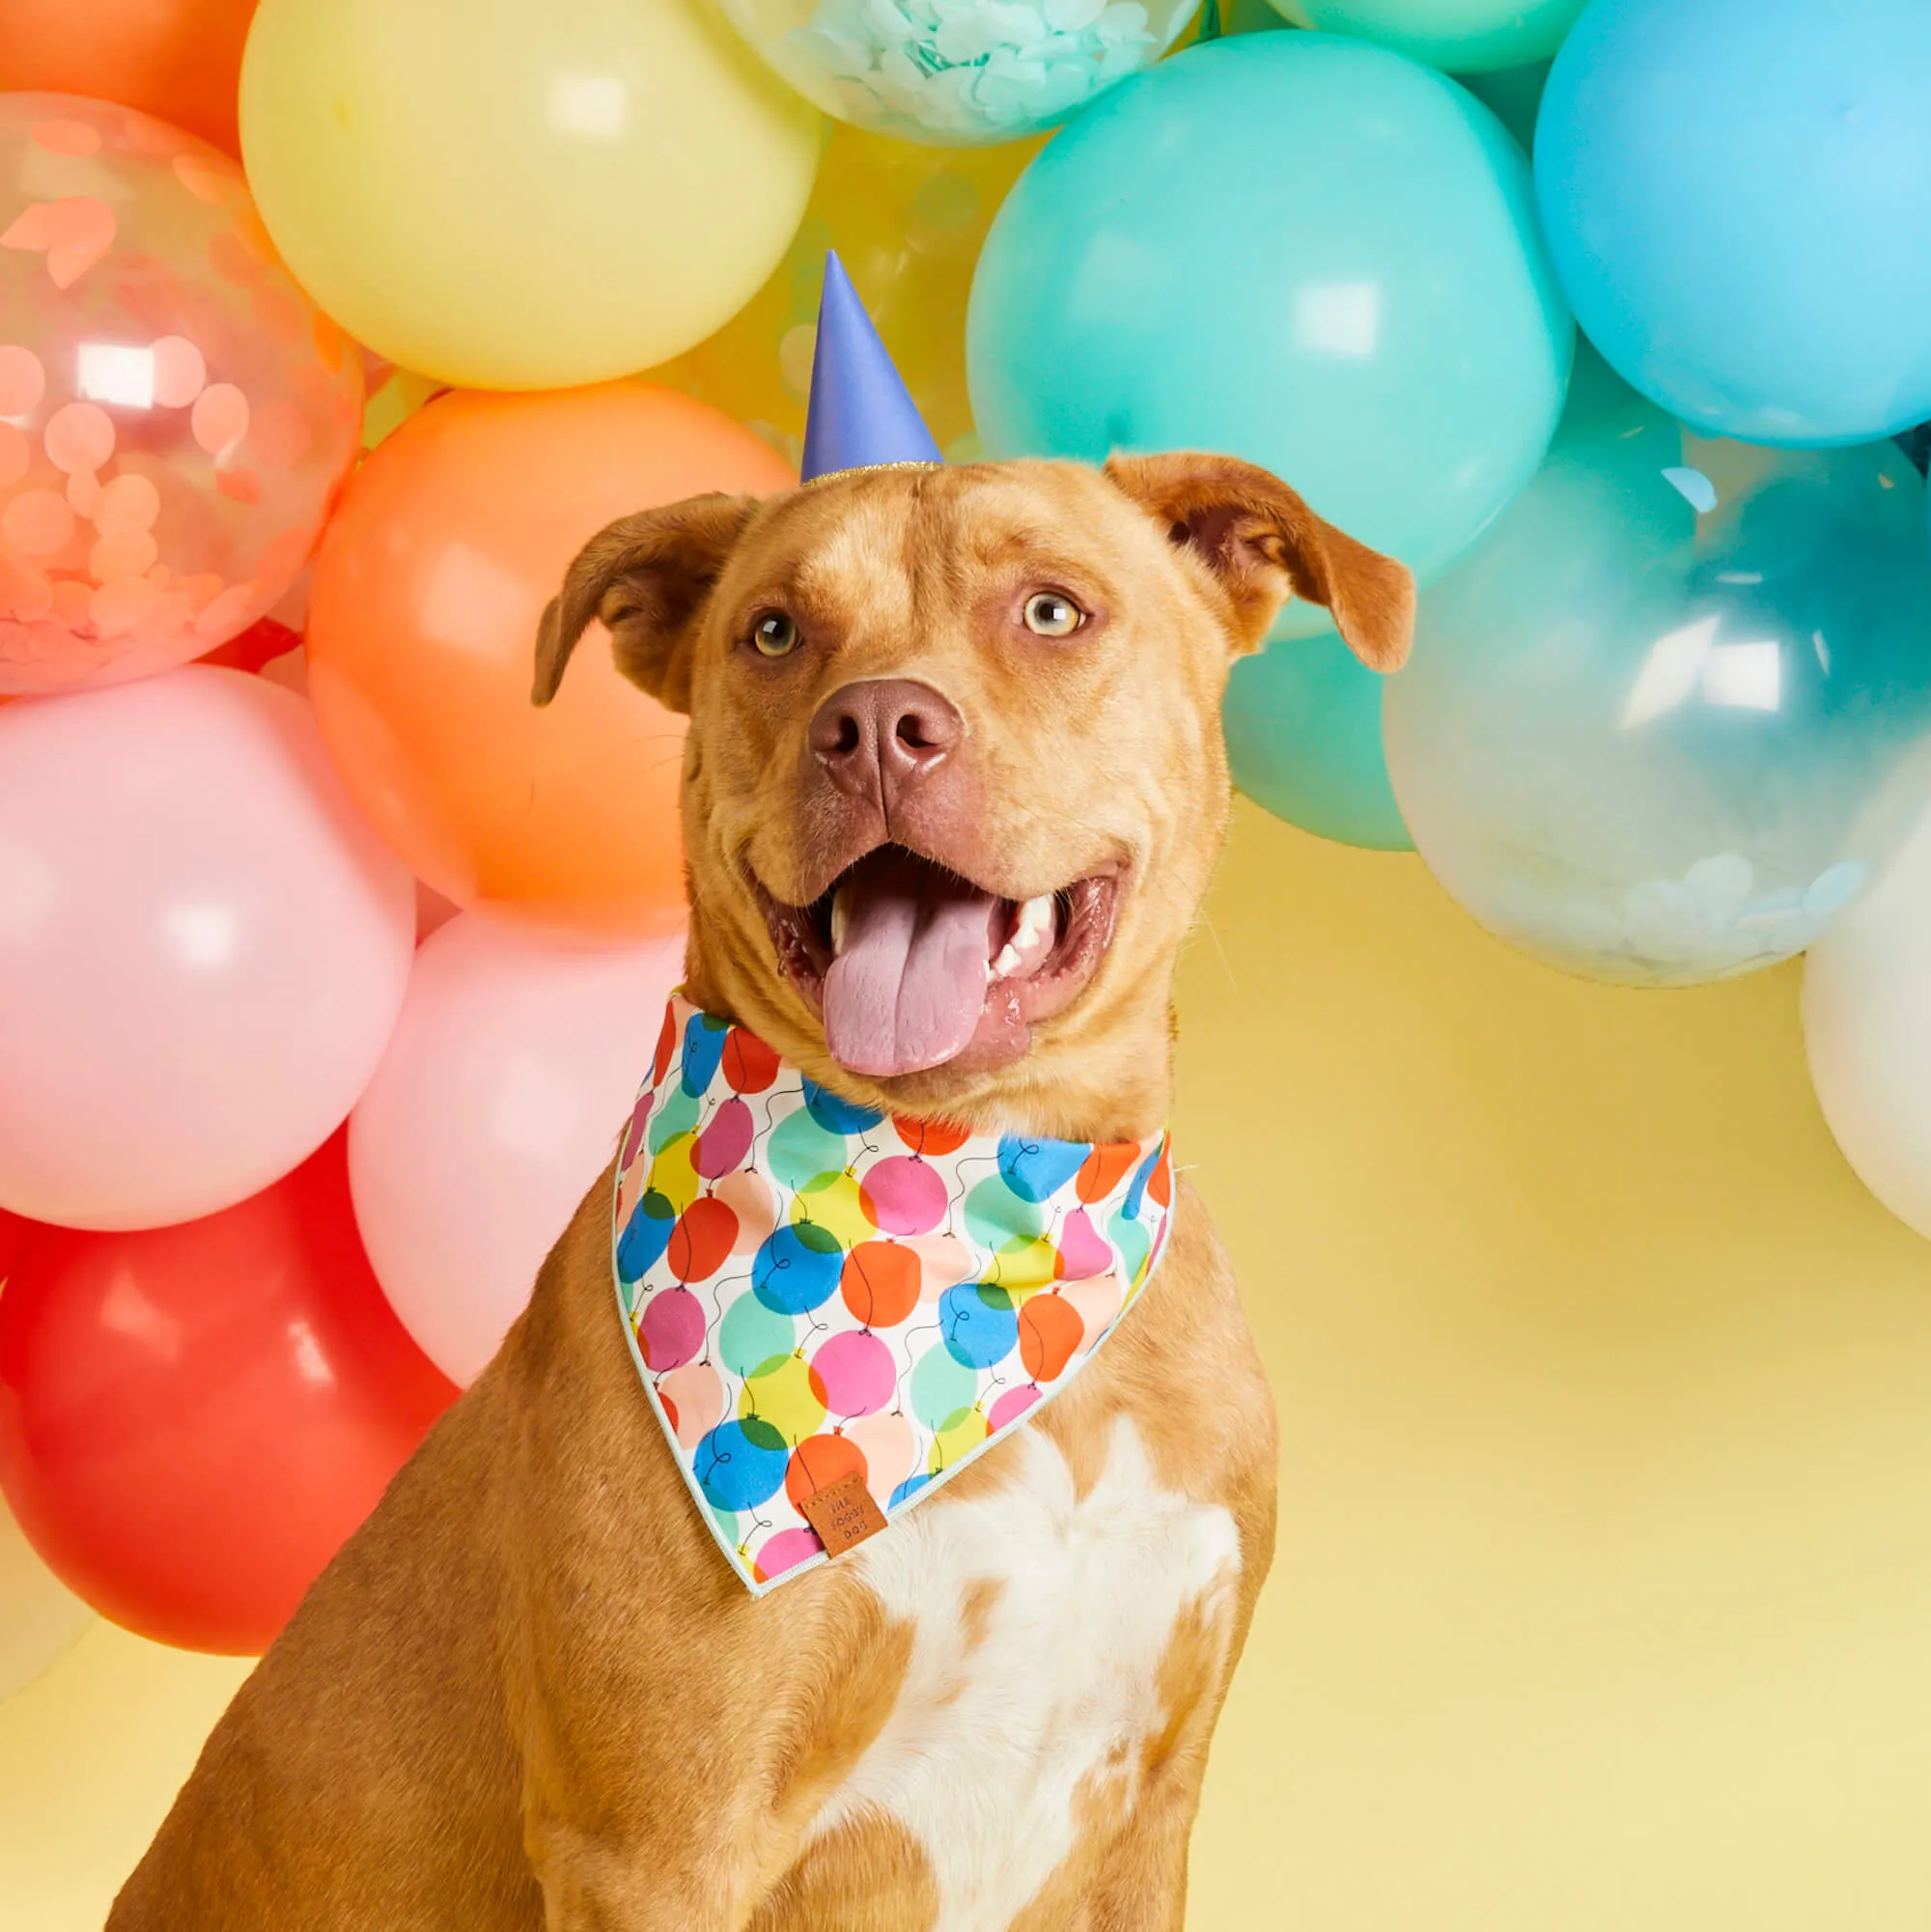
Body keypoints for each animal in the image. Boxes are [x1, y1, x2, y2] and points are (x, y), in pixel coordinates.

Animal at [109, 456, 1406, 1931]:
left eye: (1052, 610)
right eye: (775, 633)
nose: (880, 727)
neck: (981, 1207)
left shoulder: (1148, 1816)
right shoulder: (656, 1844)